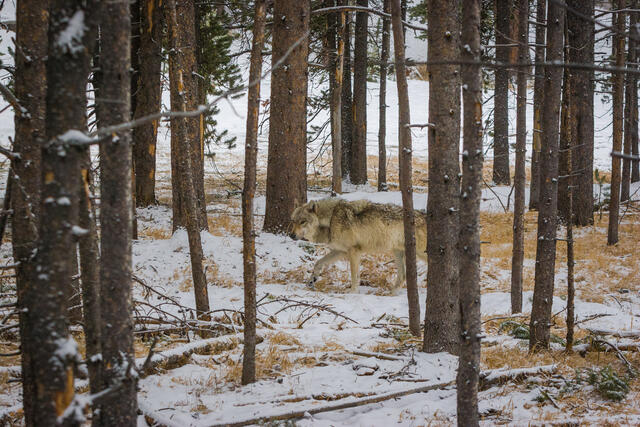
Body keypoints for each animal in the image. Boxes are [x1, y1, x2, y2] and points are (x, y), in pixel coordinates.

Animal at [292, 199, 428, 292]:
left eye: (303, 222)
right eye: (293, 221)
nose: (291, 235)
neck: (331, 220)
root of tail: (424, 215)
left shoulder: (354, 251)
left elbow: (354, 276)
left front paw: (352, 293)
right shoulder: (340, 251)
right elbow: (318, 263)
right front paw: (311, 280)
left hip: (420, 253)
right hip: (398, 253)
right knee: (403, 276)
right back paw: (391, 293)